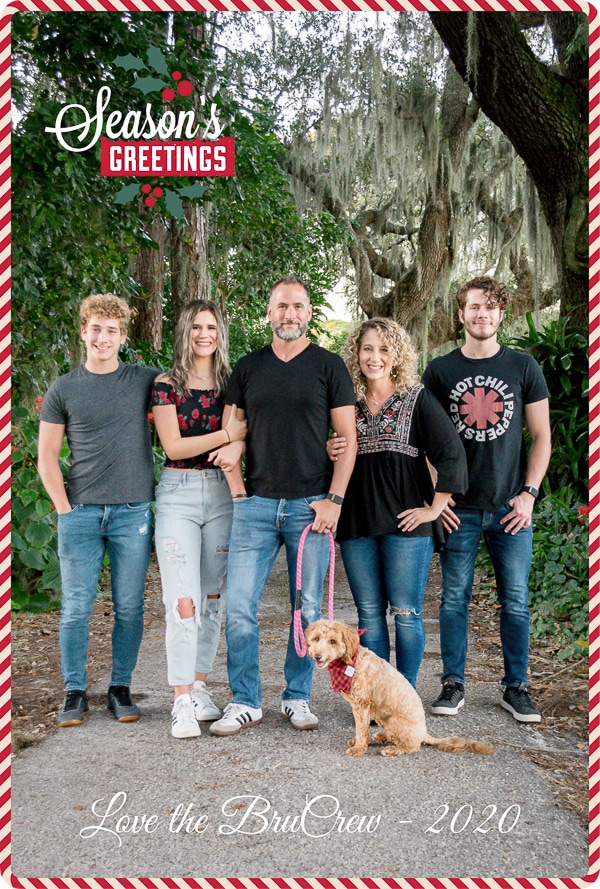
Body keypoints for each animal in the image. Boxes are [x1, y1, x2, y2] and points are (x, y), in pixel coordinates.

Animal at [304, 616, 492, 756]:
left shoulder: (361, 705)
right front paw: (359, 742)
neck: (351, 662)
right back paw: (382, 737)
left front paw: (359, 748)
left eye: (333, 641)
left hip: (393, 720)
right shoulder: (360, 707)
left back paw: (392, 749)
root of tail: (424, 733)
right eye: (317, 638)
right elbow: (361, 728)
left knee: (413, 747)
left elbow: (361, 728)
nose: (318, 656)